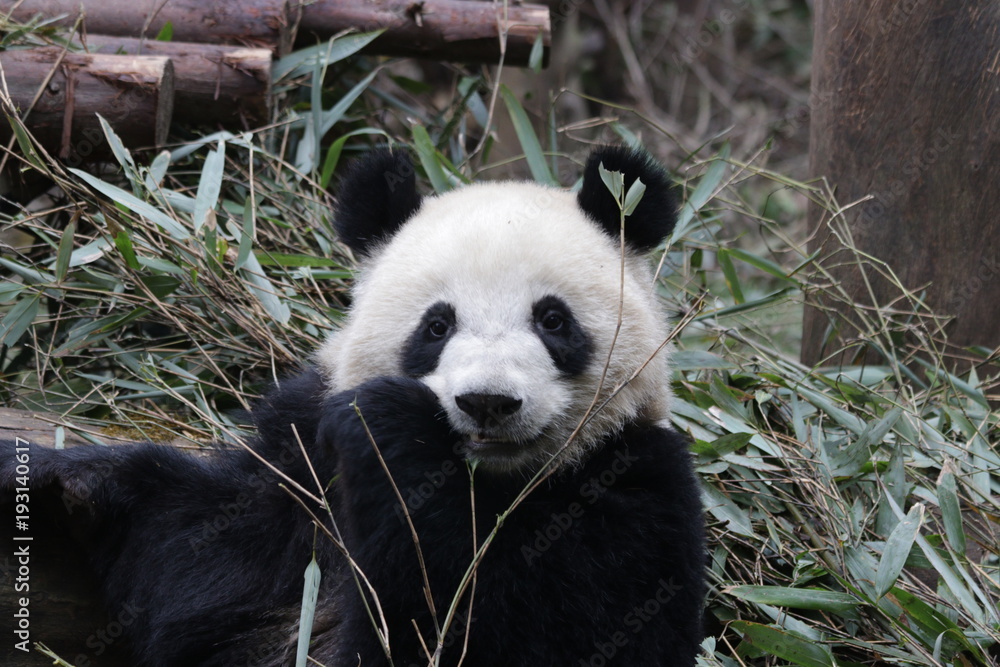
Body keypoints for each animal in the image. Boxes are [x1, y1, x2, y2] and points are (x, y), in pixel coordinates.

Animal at [1, 145, 705, 666]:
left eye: (553, 320)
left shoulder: (632, 485)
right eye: (436, 326)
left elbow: (513, 631)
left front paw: (392, 428)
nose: (486, 402)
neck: (489, 485)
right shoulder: (303, 465)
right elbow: (196, 554)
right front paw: (49, 478)